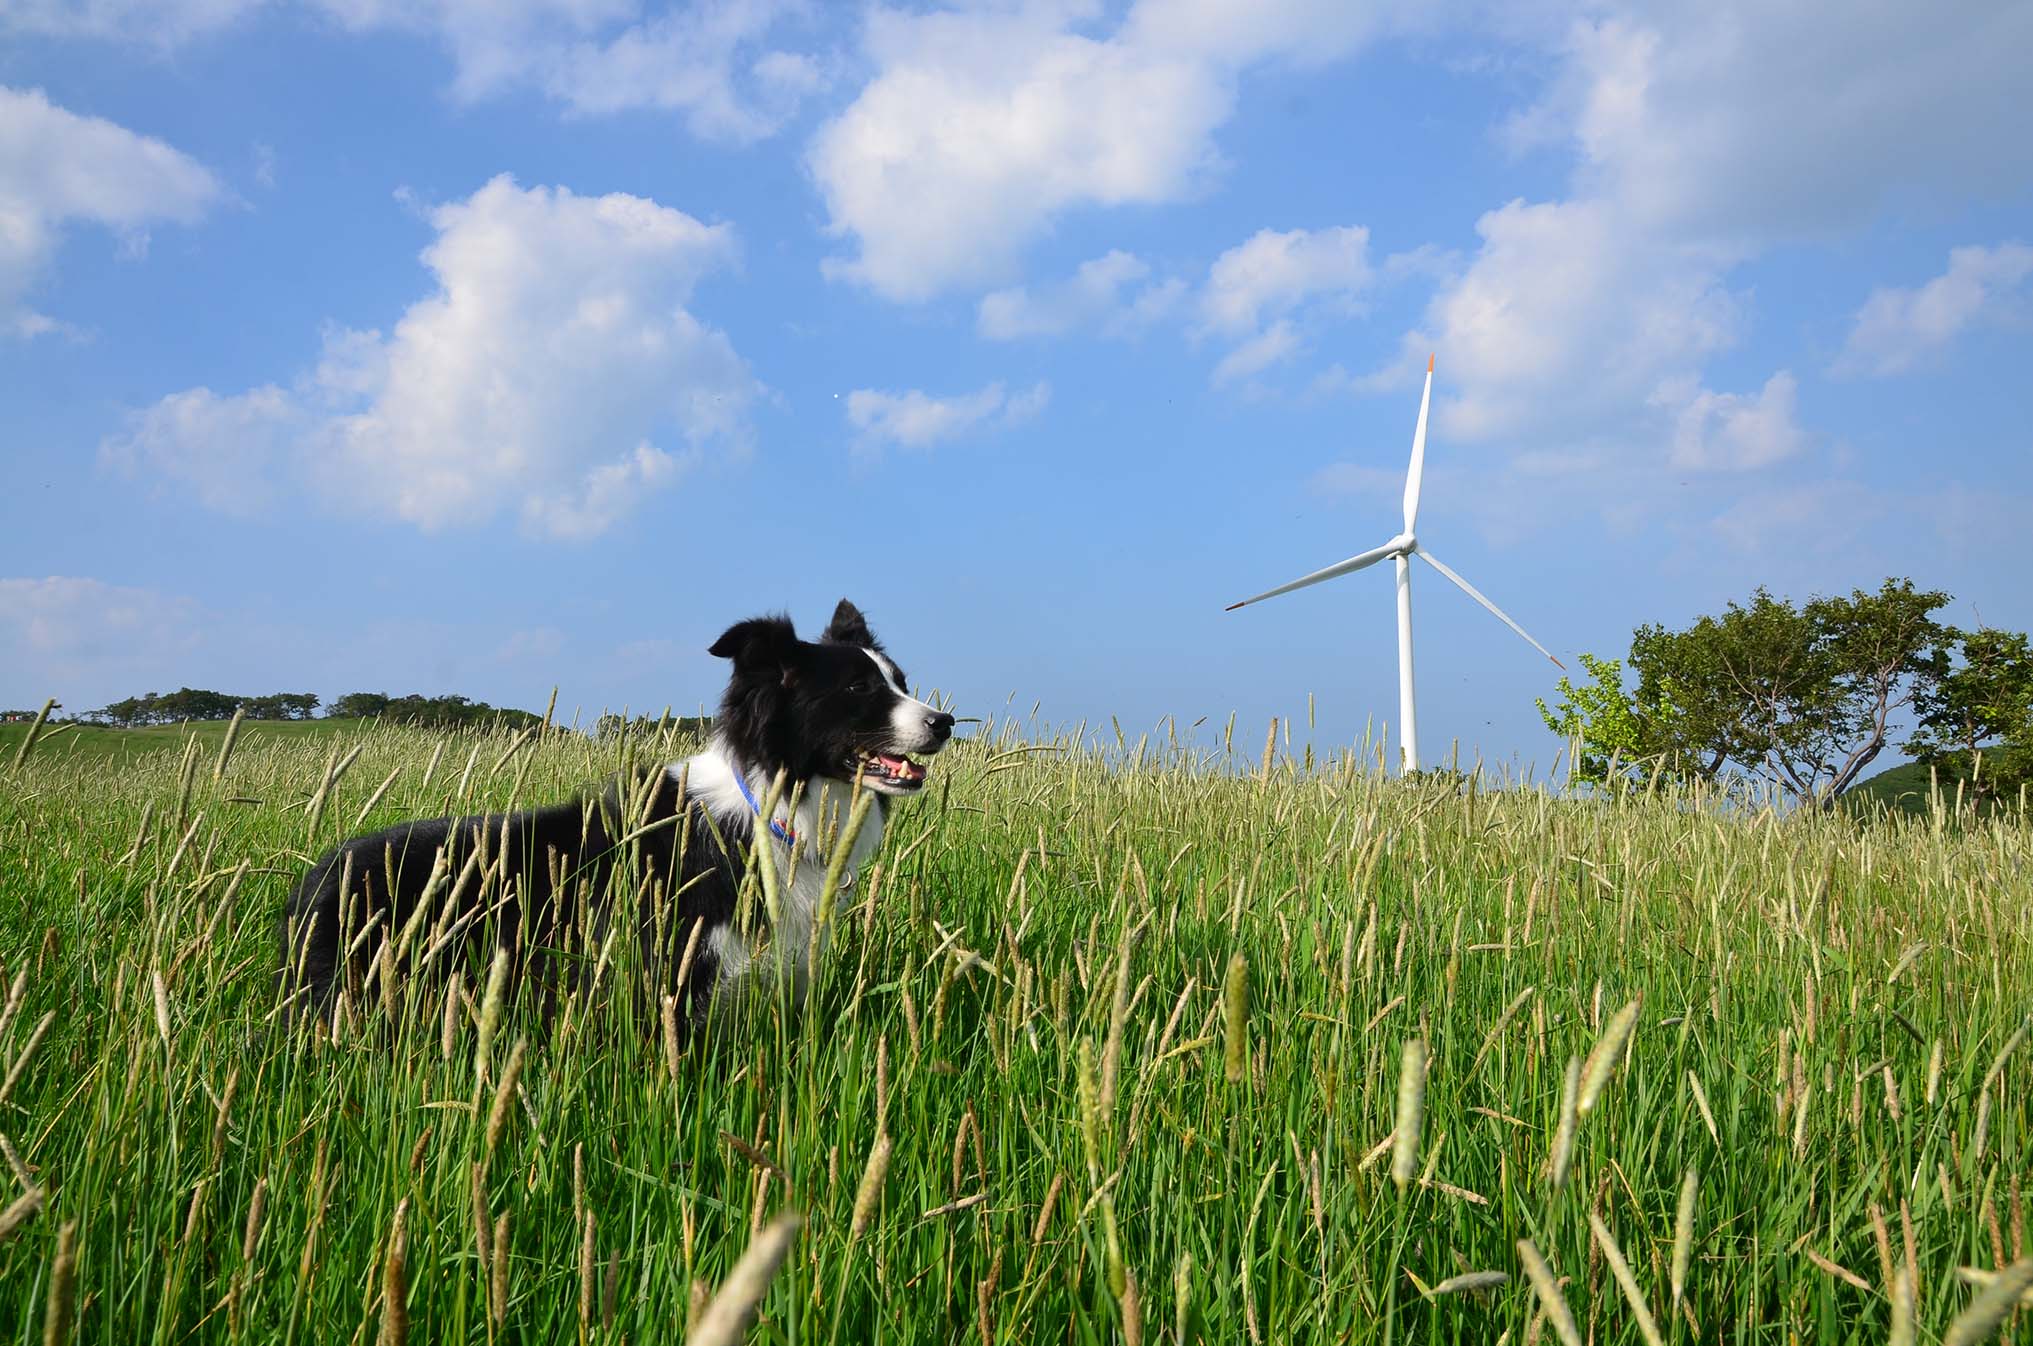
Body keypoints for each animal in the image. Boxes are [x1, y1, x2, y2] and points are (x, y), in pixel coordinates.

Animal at [278, 601, 951, 1032]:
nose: (944, 721)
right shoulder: (679, 983)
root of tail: (316, 877)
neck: (769, 811)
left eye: (900, 680)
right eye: (859, 689)